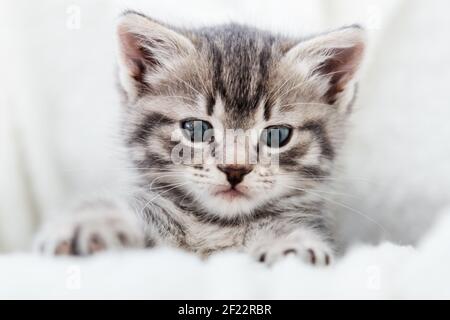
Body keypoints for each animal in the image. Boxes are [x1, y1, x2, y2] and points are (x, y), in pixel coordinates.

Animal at [35, 10, 366, 264]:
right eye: (196, 129)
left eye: (277, 135)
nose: (235, 169)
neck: (216, 226)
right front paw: (91, 223)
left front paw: (290, 243)